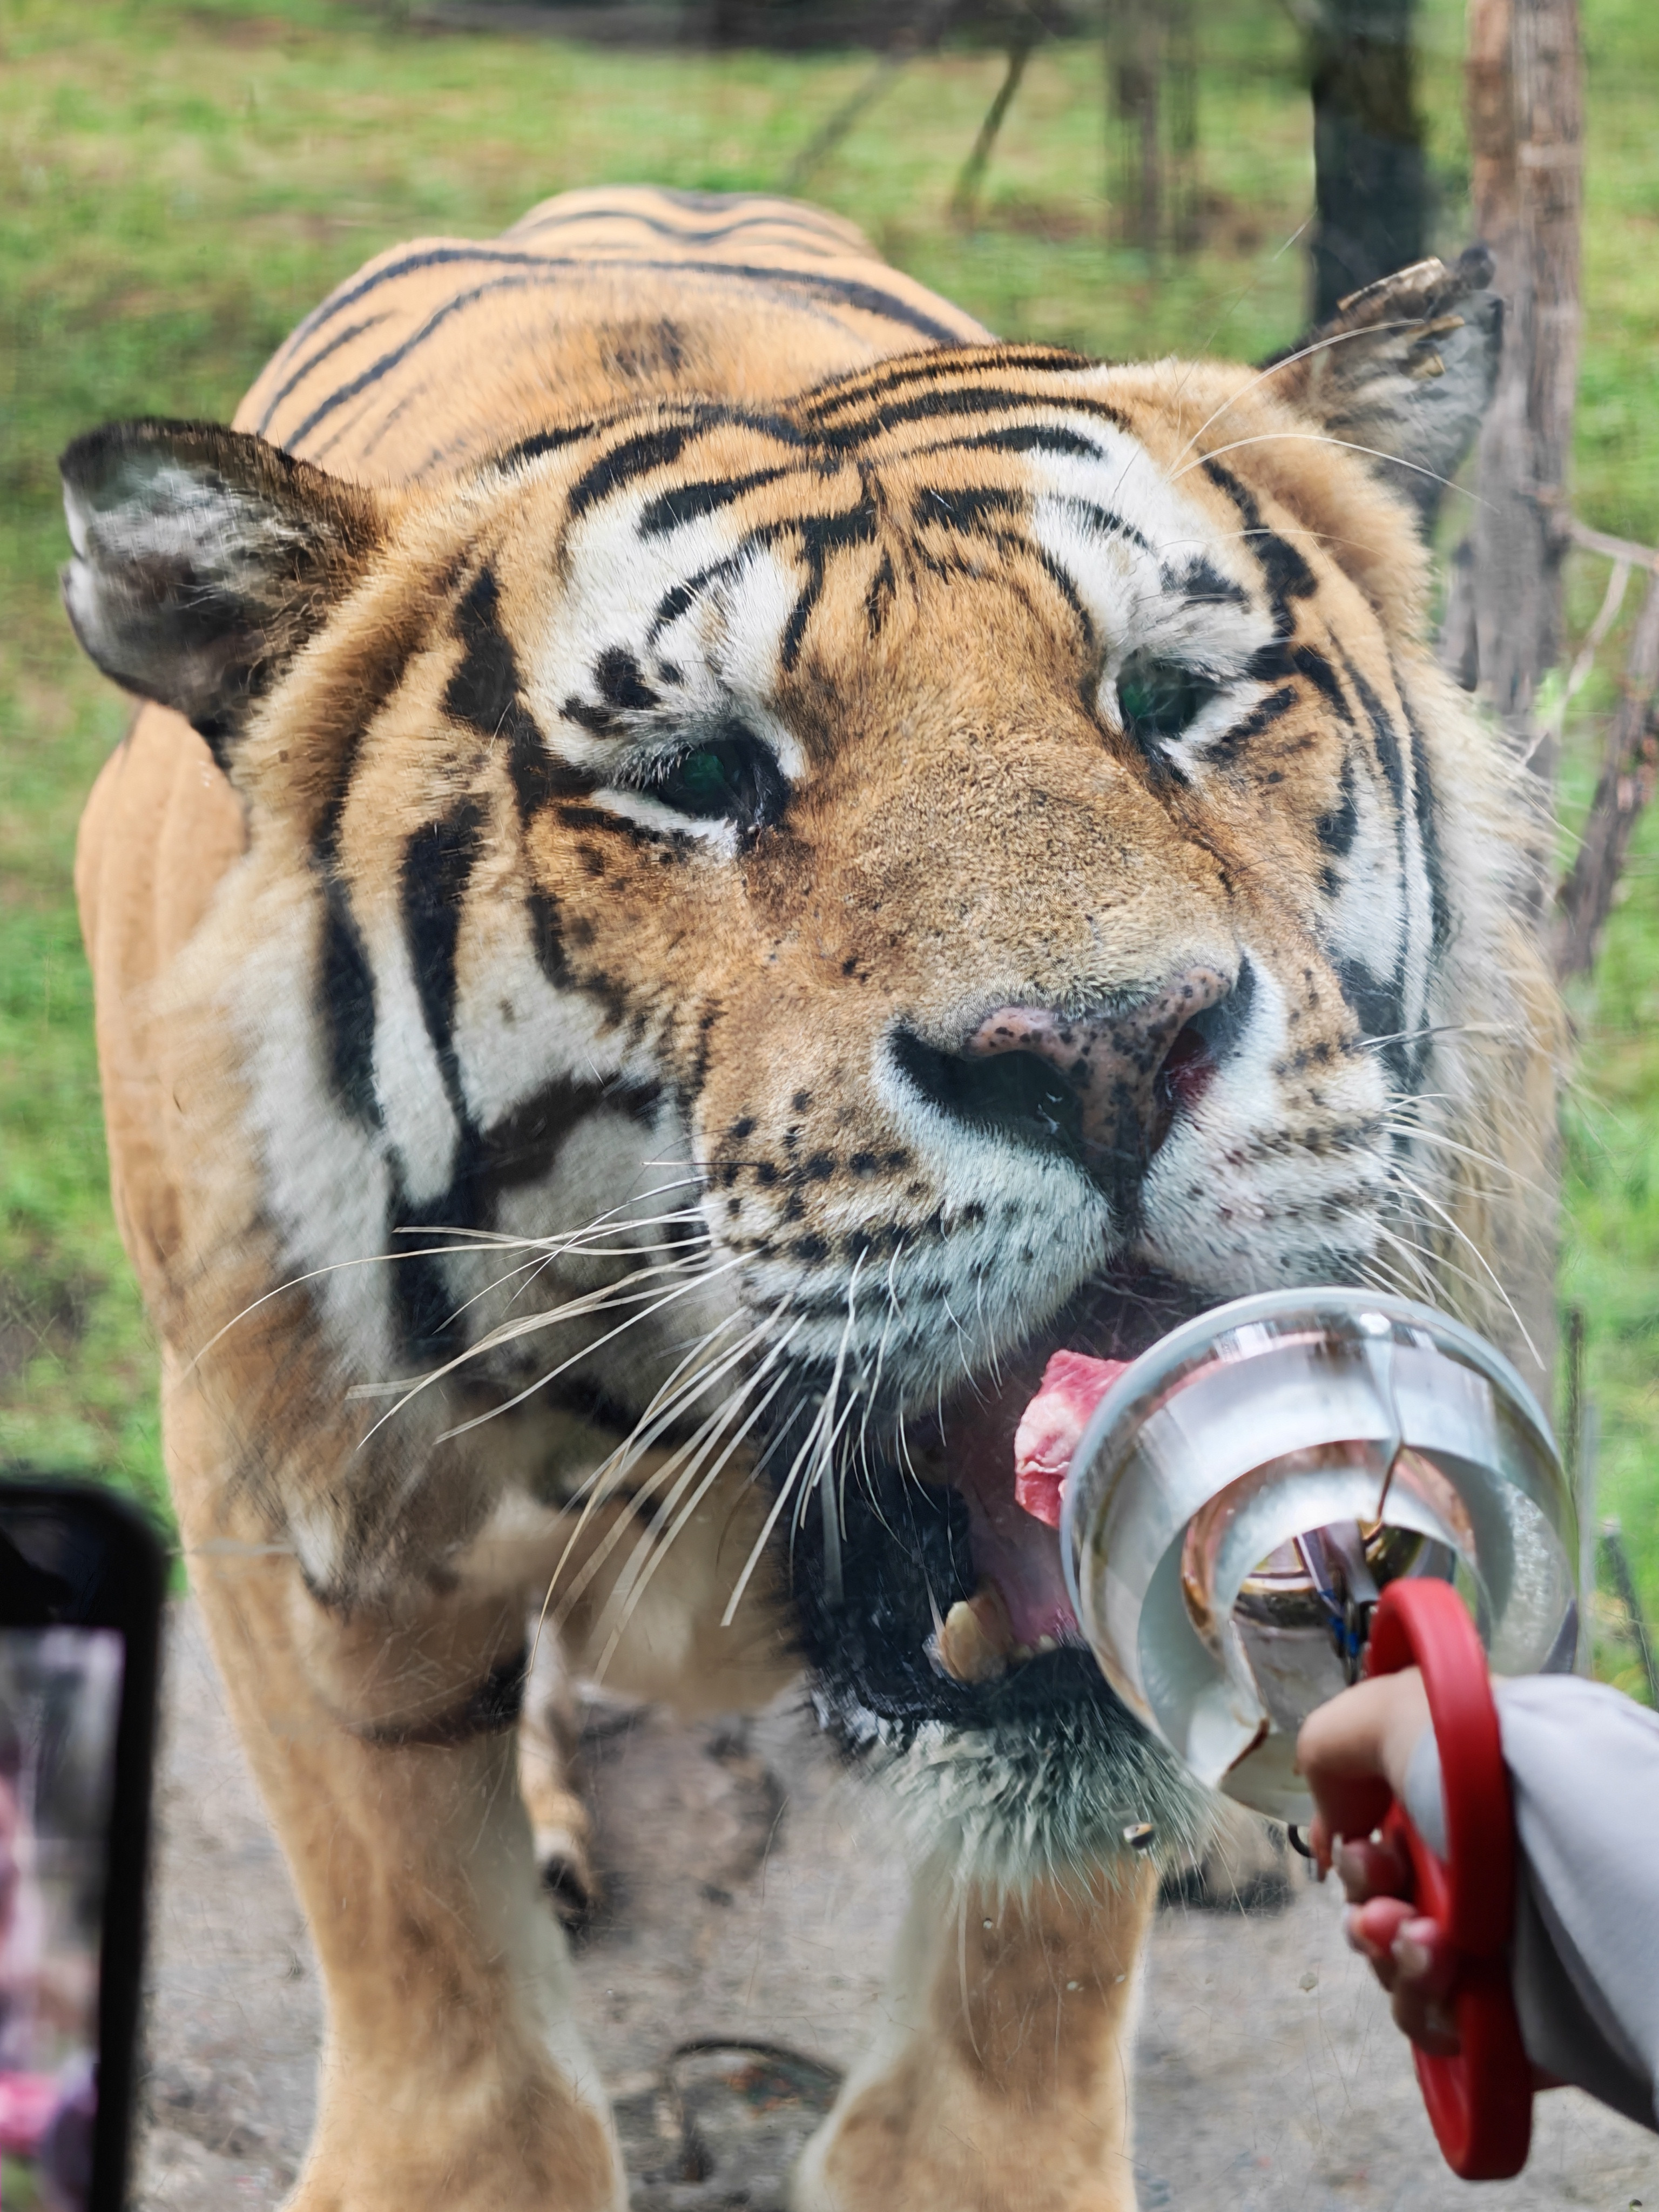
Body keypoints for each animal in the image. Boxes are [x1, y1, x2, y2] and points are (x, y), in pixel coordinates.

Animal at [65, 186, 1555, 2212]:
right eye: (700, 776)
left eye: (1169, 700)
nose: (1104, 1049)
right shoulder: (289, 1475)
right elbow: (422, 1936)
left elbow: (1038, 1927)